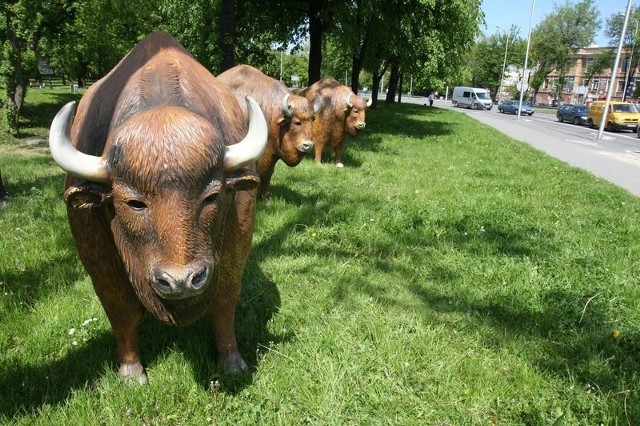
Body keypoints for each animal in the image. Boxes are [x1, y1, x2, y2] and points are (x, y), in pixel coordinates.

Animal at [48, 31, 268, 382]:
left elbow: (224, 301)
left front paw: (232, 362)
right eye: (134, 203)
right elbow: (121, 308)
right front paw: (131, 373)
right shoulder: (97, 257)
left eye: (212, 197)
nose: (182, 281)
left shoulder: (237, 242)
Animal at [220, 65, 320, 198]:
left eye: (312, 120)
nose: (308, 145)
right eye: (297, 122)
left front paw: (266, 196)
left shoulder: (271, 155)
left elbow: (268, 174)